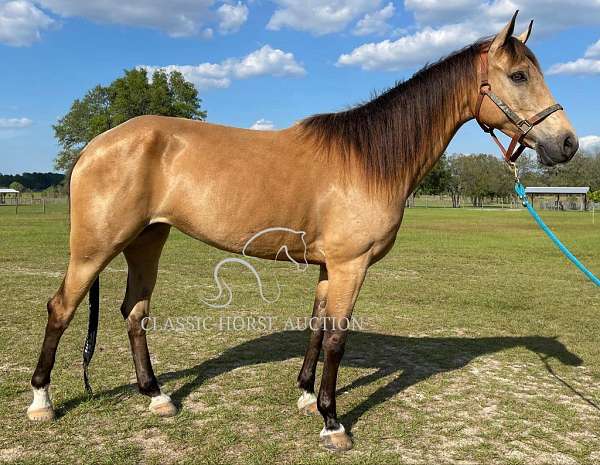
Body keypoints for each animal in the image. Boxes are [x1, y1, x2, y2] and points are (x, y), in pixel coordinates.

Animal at [27, 10, 576, 452]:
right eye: (519, 75)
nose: (567, 143)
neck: (368, 159)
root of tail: (96, 144)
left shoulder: (330, 267)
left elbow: (317, 328)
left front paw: (308, 397)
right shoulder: (351, 265)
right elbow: (336, 339)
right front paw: (334, 423)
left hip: (148, 240)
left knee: (134, 312)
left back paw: (157, 396)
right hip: (96, 247)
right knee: (61, 308)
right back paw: (42, 400)